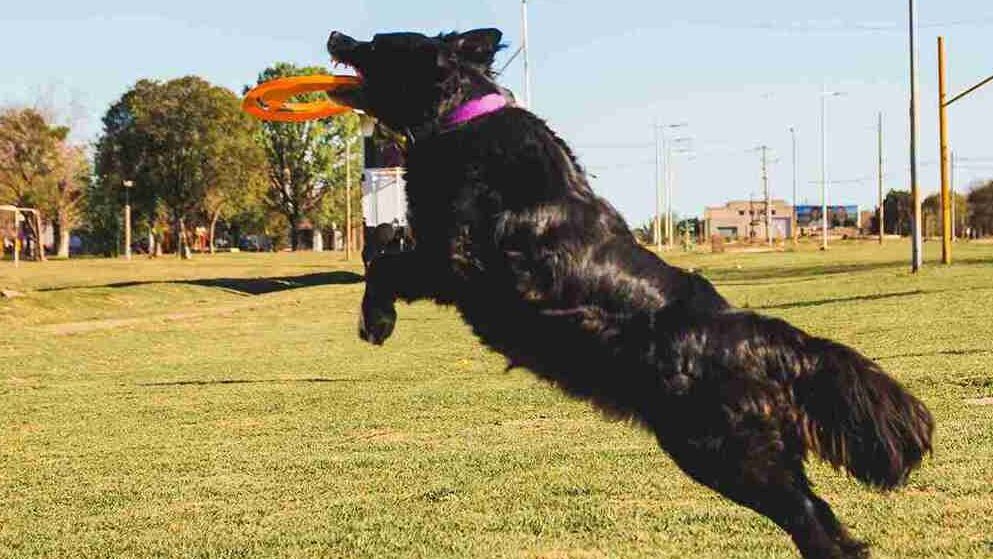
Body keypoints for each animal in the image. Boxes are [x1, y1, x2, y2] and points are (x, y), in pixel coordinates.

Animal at [330, 28, 932, 556]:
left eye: (378, 43)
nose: (336, 35)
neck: (461, 119)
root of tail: (749, 334)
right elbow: (381, 257)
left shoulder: (454, 259)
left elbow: (383, 263)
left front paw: (376, 321)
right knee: (822, 519)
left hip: (725, 452)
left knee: (813, 521)